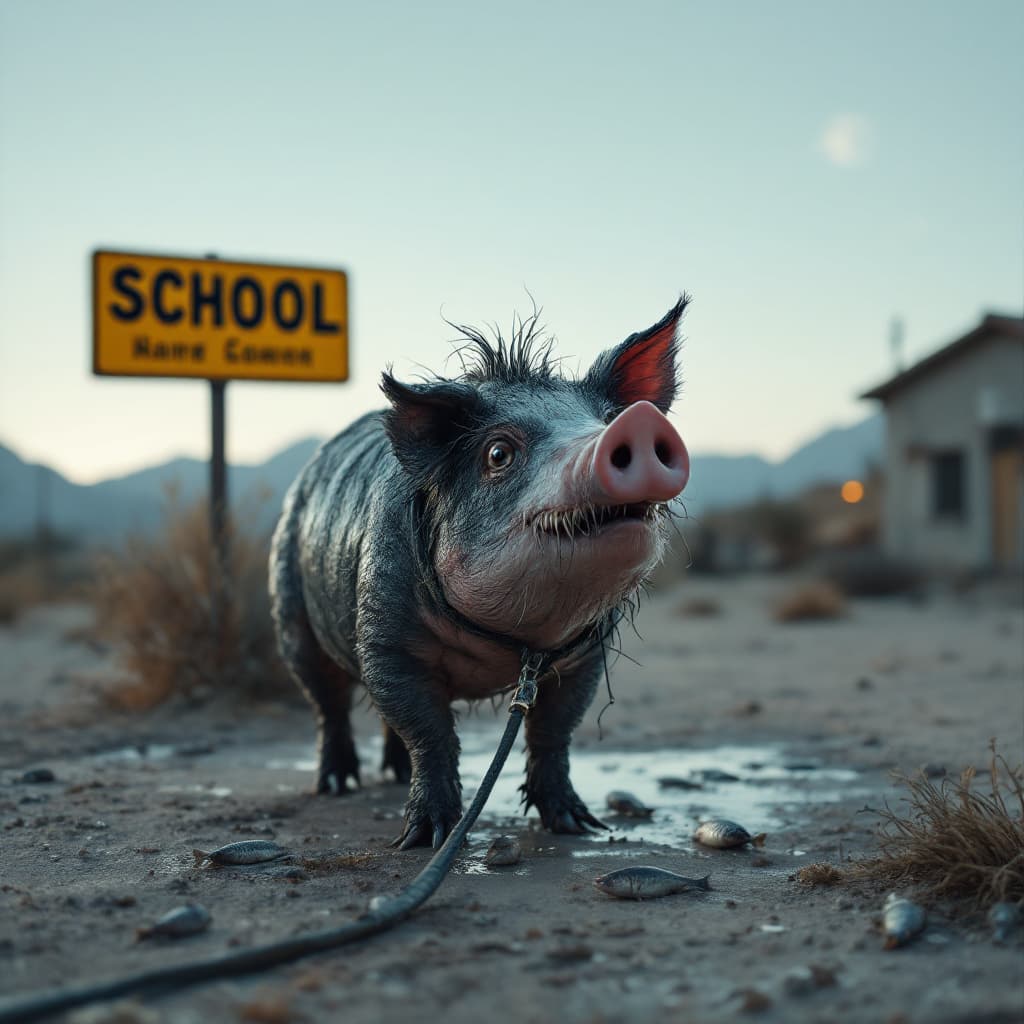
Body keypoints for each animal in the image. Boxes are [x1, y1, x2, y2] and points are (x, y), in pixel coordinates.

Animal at [269, 298, 691, 849]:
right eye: (498, 453)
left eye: (606, 419)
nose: (635, 424)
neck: (520, 645)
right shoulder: (384, 634)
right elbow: (428, 730)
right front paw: (426, 840)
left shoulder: (586, 654)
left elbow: (554, 730)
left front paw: (578, 826)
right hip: (290, 609)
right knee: (328, 703)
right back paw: (336, 786)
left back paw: (394, 776)